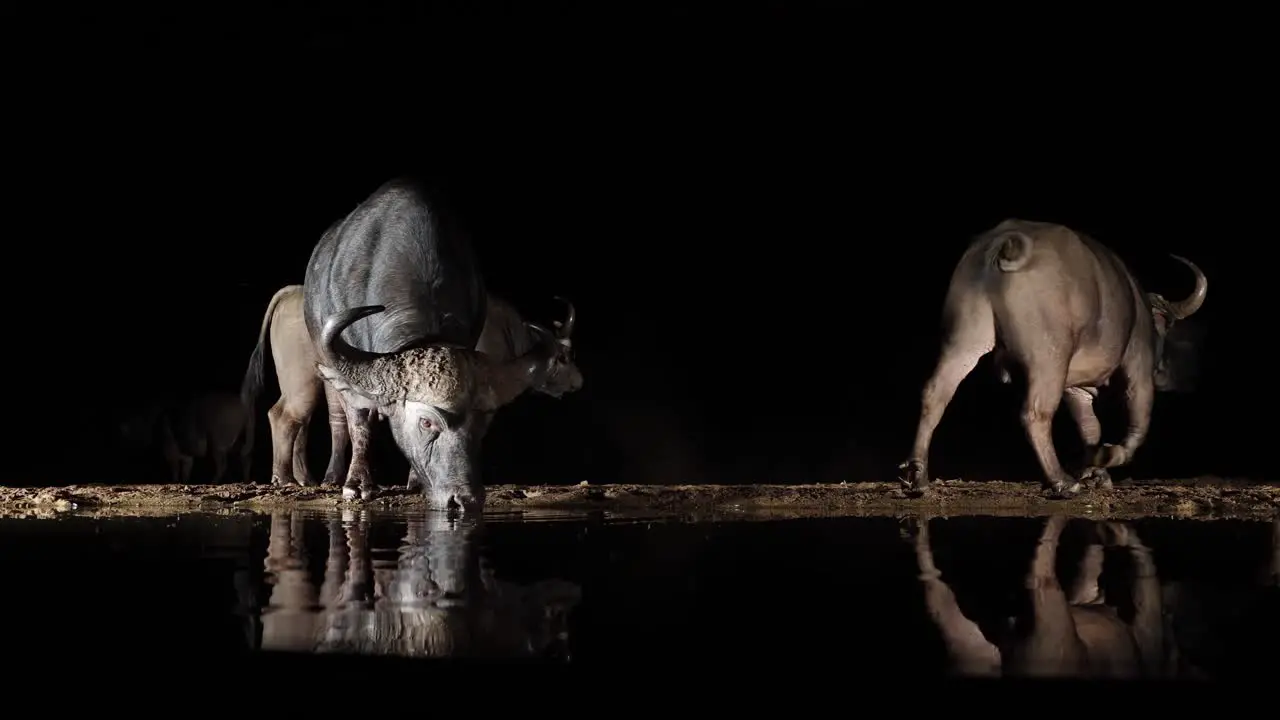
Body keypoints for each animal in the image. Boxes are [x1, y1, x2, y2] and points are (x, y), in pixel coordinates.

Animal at [896, 220, 1203, 499]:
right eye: (1164, 330)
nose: (1165, 373)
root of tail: (1004, 241)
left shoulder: (1077, 389)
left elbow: (1090, 427)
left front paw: (1097, 473)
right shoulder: (1138, 370)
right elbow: (1137, 423)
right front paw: (1104, 458)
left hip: (962, 340)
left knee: (935, 394)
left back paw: (917, 476)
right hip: (1049, 359)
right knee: (1036, 413)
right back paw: (1062, 481)